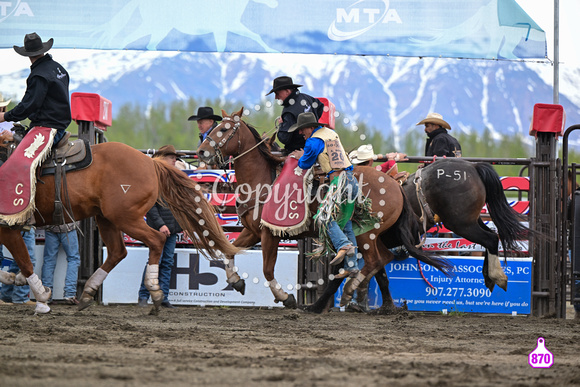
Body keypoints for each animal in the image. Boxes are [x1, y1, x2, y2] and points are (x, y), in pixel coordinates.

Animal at [0, 142, 240, 316]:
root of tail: (151, 163)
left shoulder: (7, 228)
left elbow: (25, 262)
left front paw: (40, 297)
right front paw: (14, 278)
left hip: (124, 217)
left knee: (155, 241)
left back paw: (154, 292)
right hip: (107, 218)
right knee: (118, 251)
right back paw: (88, 293)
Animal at [197, 109, 450, 310]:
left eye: (224, 129)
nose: (201, 151)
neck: (264, 182)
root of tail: (396, 186)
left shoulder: (270, 234)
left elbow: (267, 269)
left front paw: (286, 298)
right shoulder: (252, 231)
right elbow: (229, 251)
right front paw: (236, 281)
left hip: (368, 234)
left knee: (375, 260)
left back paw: (347, 289)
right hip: (372, 234)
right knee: (382, 259)